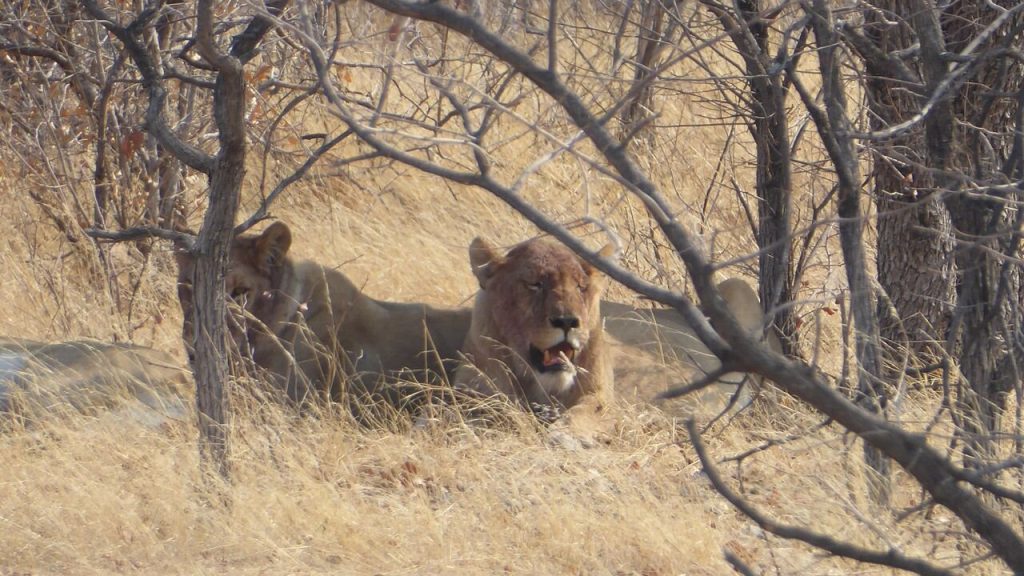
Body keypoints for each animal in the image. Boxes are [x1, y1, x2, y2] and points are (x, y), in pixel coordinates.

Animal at [453, 236, 615, 416]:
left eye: (581, 287)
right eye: (535, 284)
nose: (567, 321)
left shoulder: (600, 396)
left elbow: (581, 414)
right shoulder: (471, 383)